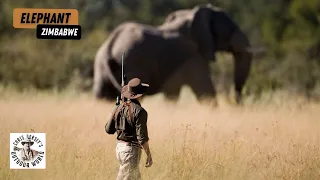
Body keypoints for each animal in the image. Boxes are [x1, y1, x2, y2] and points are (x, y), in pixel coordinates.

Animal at [94, 3, 254, 105]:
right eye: (232, 29)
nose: (237, 102)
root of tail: (110, 44)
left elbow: (172, 94)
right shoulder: (193, 57)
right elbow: (205, 91)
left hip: (101, 66)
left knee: (102, 95)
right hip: (133, 64)